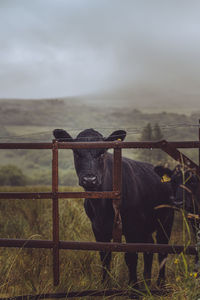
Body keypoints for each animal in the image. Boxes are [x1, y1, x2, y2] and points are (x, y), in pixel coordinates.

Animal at [54, 127, 174, 288]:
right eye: (76, 153)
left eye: (102, 153)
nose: (89, 179)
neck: (101, 206)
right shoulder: (98, 229)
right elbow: (105, 256)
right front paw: (105, 285)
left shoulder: (132, 228)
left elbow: (131, 256)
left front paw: (133, 286)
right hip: (147, 226)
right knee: (149, 248)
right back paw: (147, 282)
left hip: (166, 220)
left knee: (162, 250)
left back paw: (160, 284)